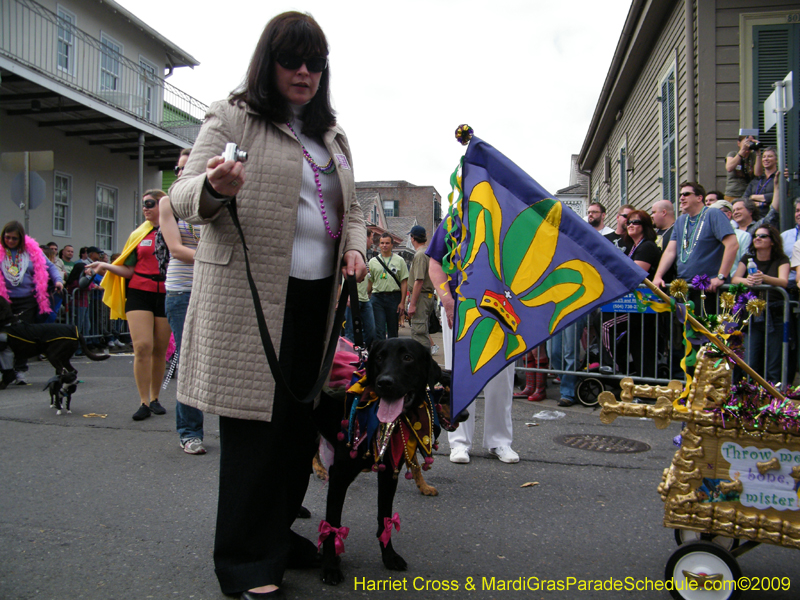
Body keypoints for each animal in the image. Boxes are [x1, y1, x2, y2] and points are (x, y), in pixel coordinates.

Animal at [314, 338, 462, 584]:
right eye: (379, 357)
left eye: (408, 358)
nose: (384, 382)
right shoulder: (339, 475)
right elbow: (332, 522)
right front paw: (330, 565)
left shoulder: (390, 472)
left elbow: (384, 516)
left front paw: (389, 556)